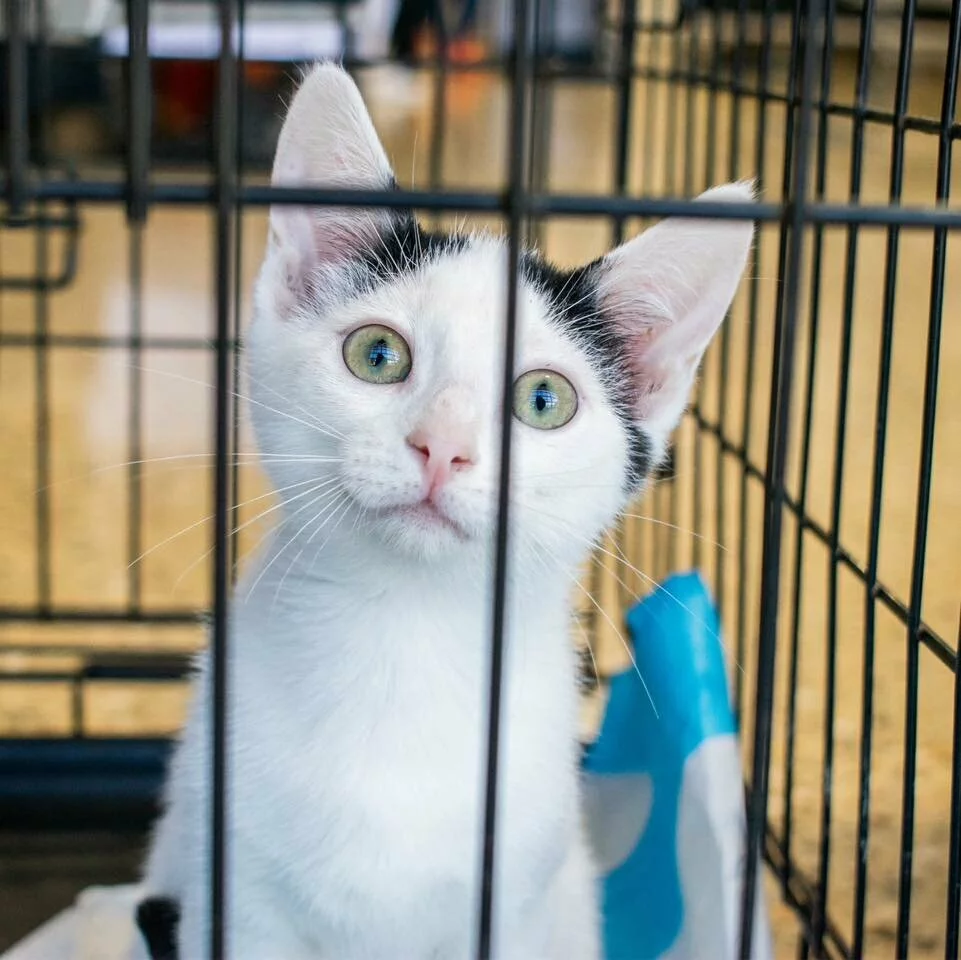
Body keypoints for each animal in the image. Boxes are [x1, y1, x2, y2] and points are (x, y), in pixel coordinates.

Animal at [141, 62, 756, 960]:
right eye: (377, 355)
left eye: (543, 400)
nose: (442, 447)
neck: (407, 635)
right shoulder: (234, 892)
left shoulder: (511, 904)